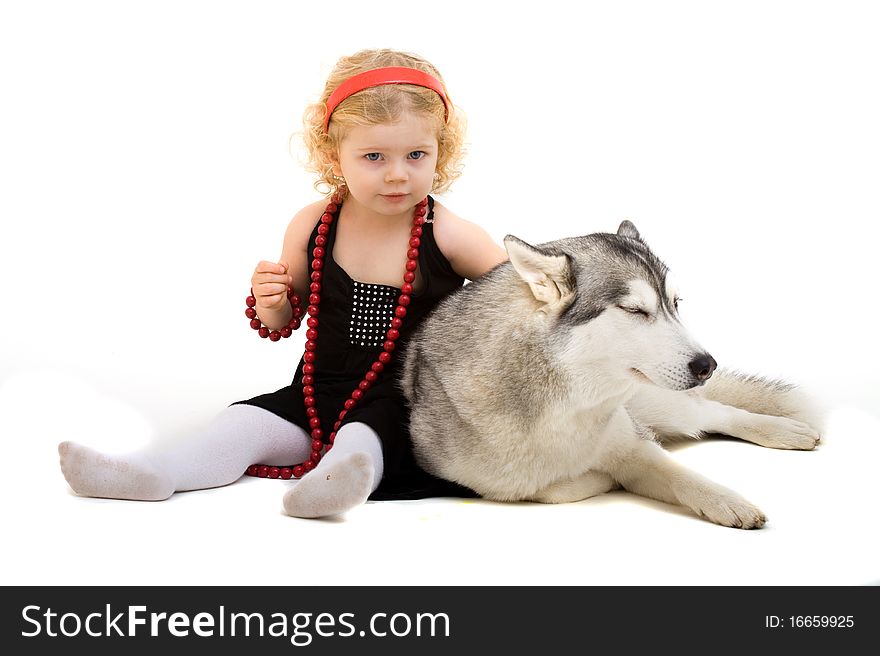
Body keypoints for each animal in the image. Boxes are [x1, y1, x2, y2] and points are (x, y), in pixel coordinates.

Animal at [400, 223, 824, 532]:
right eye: (636, 311)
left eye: (675, 304)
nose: (707, 365)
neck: (567, 408)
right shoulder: (486, 483)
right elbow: (554, 489)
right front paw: (599, 480)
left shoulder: (635, 446)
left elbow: (680, 474)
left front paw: (727, 500)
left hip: (662, 403)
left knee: (715, 412)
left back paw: (785, 430)